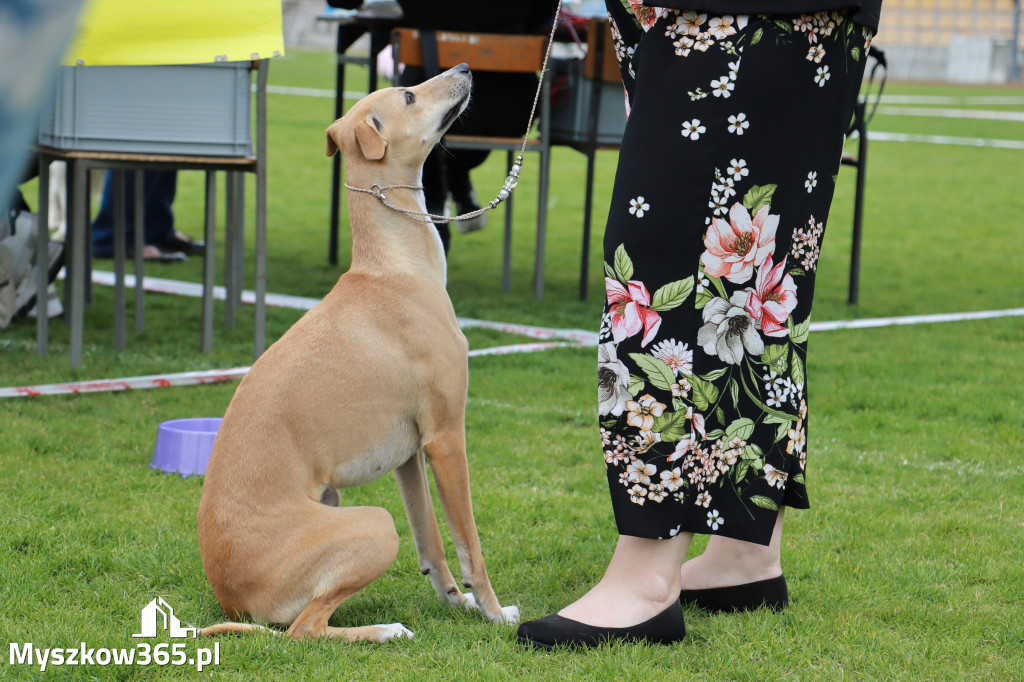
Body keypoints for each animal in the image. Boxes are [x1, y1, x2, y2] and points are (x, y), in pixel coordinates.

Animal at [197, 62, 520, 638]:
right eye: (409, 94)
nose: (463, 68)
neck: (393, 269)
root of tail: (232, 598)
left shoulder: (410, 453)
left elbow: (432, 544)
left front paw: (456, 601)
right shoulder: (445, 436)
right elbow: (469, 544)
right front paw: (493, 611)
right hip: (373, 524)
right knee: (303, 631)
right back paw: (386, 631)